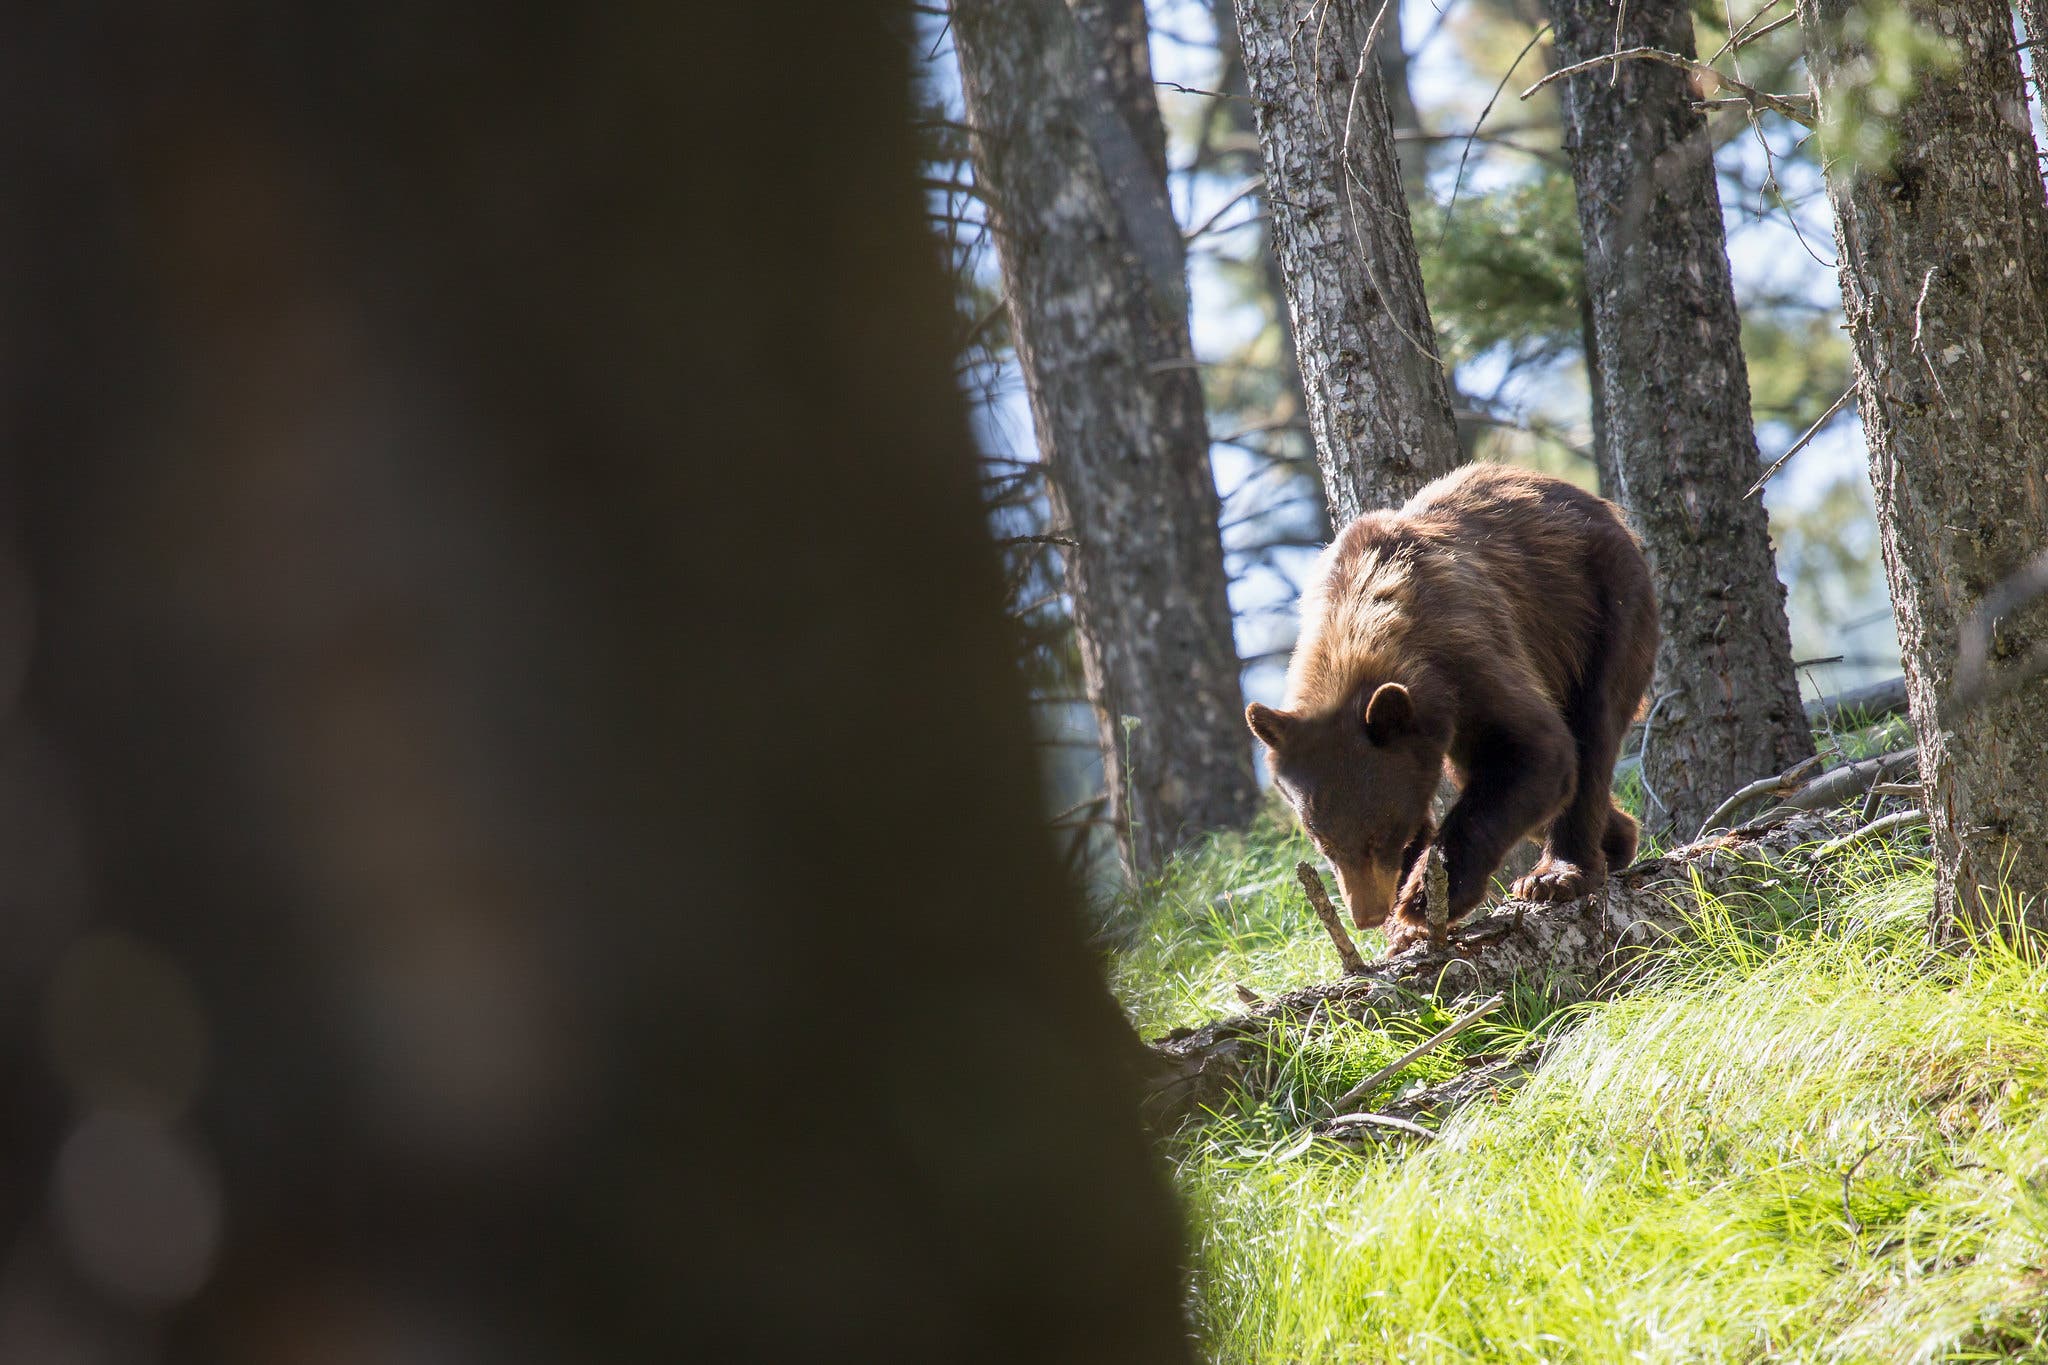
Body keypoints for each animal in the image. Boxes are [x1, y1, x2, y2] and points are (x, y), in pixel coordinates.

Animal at [1246, 463, 1657, 953]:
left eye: (1380, 835)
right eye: (1322, 840)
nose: (1367, 916)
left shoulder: (1466, 655)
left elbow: (1538, 751)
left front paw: (1421, 903)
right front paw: (1404, 925)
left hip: (1601, 607)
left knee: (1591, 731)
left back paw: (1558, 873)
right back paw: (1616, 838)